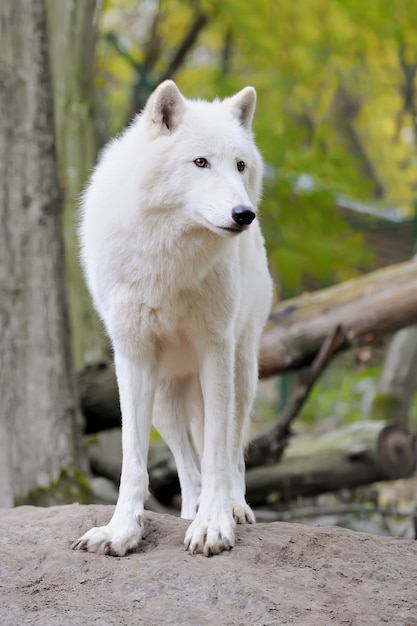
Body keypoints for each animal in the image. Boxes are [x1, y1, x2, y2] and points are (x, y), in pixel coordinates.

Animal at [72, 80, 272, 552]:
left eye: (239, 165)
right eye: (201, 162)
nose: (244, 215)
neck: (169, 258)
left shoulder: (214, 348)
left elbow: (218, 451)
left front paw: (214, 526)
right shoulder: (132, 355)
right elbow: (133, 461)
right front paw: (121, 532)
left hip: (241, 372)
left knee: (233, 451)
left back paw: (234, 507)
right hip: (165, 396)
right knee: (187, 464)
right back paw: (191, 510)